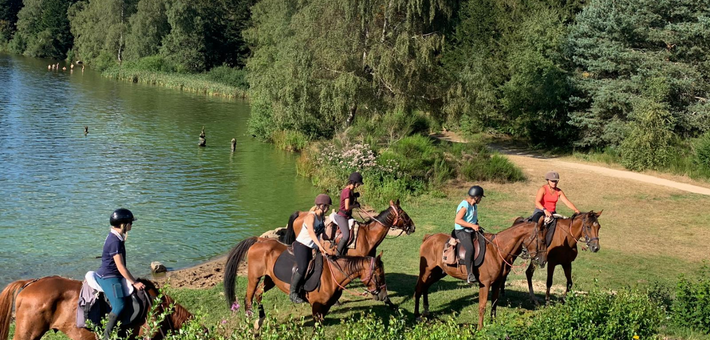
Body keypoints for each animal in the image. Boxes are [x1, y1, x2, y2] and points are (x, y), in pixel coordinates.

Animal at [222, 236, 390, 326]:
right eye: (379, 275)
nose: (384, 296)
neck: (332, 275)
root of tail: (260, 240)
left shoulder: (325, 306)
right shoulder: (316, 305)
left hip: (270, 279)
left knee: (258, 294)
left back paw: (261, 317)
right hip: (254, 277)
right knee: (248, 298)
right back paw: (249, 319)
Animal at [414, 220, 548, 330]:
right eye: (542, 241)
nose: (543, 261)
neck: (496, 251)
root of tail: (429, 238)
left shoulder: (497, 282)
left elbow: (494, 303)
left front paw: (493, 323)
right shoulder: (485, 283)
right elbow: (482, 306)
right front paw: (480, 328)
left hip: (437, 273)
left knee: (425, 287)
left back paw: (426, 311)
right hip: (426, 272)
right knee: (419, 289)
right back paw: (417, 315)